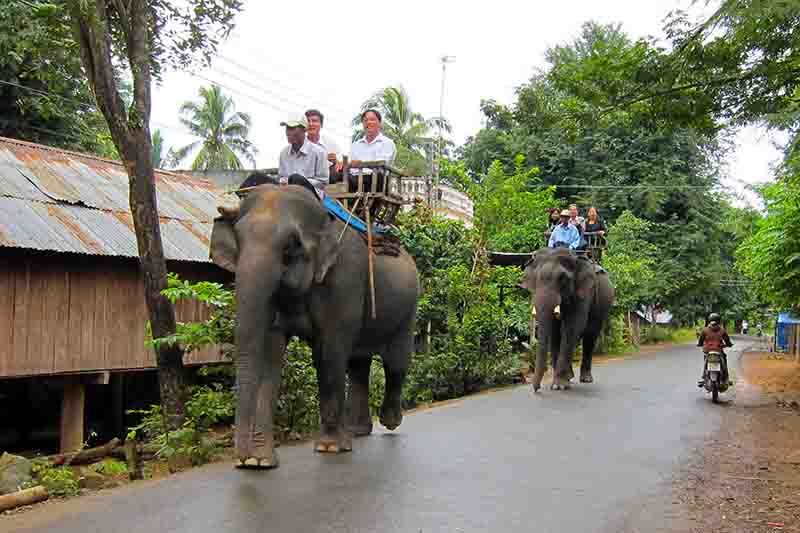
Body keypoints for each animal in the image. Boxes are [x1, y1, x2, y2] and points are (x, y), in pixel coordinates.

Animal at [209, 185, 418, 468]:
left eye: (291, 246)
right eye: (238, 241)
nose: (241, 460)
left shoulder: (345, 279)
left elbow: (329, 351)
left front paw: (329, 447)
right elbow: (269, 353)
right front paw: (261, 462)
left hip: (408, 307)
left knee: (395, 362)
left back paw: (389, 422)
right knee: (358, 363)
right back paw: (357, 431)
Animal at [520, 246, 616, 390]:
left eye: (562, 278)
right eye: (535, 279)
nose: (536, 388)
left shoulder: (584, 293)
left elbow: (573, 326)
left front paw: (558, 385)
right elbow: (554, 332)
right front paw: (559, 383)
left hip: (603, 305)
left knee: (590, 335)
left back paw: (585, 379)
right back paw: (570, 377)